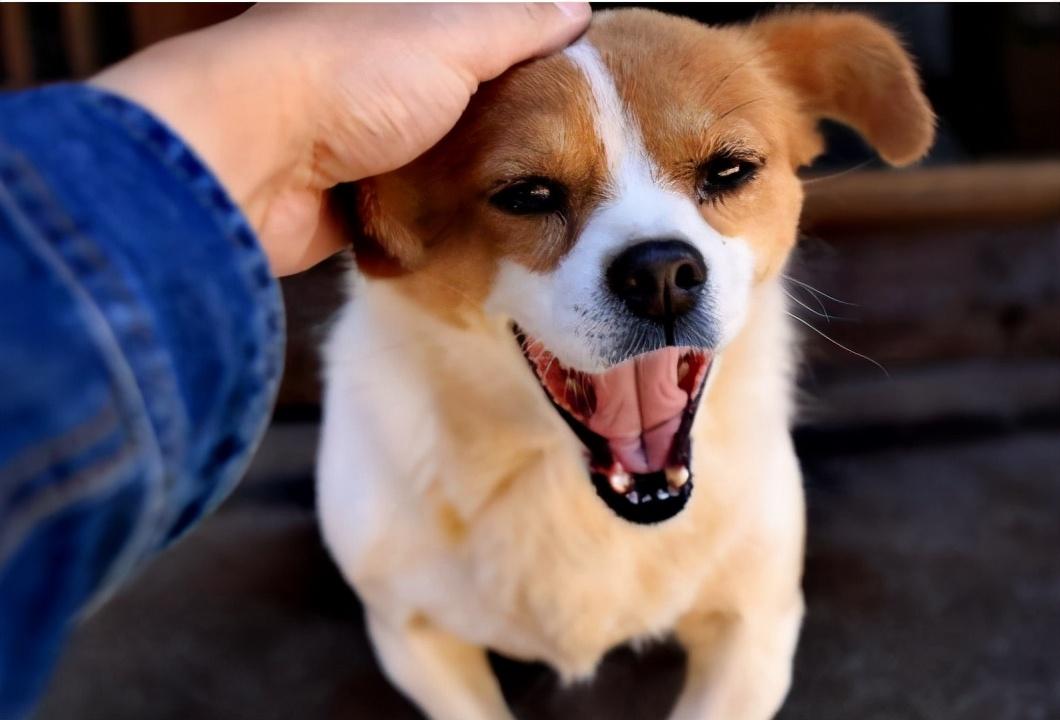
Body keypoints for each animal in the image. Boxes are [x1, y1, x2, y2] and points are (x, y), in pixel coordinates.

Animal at [315, 8, 937, 716]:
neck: (565, 487)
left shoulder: (756, 629)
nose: (661, 274)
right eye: (527, 194)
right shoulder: (411, 634)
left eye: (729, 170)